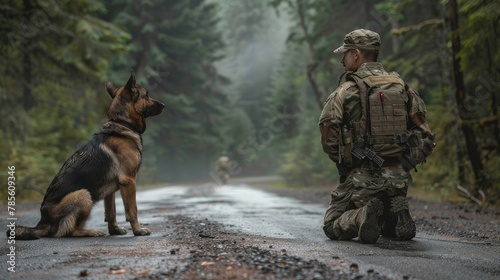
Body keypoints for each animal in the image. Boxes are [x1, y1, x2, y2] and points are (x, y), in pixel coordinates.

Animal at [11, 71, 165, 240]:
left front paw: (114, 230)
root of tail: (43, 221)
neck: (122, 124)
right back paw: (91, 231)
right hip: (84, 195)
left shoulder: (110, 190)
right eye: (147, 95)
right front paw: (138, 230)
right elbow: (132, 210)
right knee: (68, 231)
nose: (163, 105)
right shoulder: (128, 181)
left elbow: (111, 212)